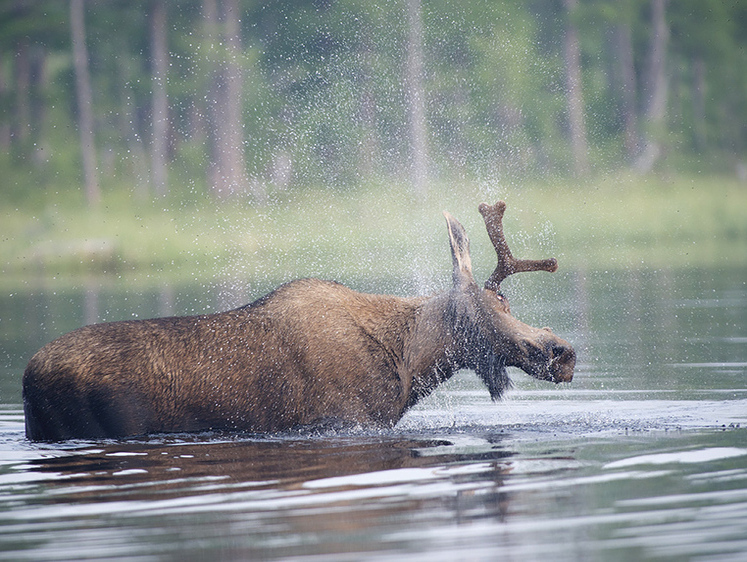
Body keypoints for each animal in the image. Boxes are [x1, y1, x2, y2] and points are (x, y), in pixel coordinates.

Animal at [21, 199, 572, 440]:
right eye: (491, 307)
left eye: (507, 303)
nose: (561, 351)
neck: (409, 365)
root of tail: (26, 379)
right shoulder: (346, 419)